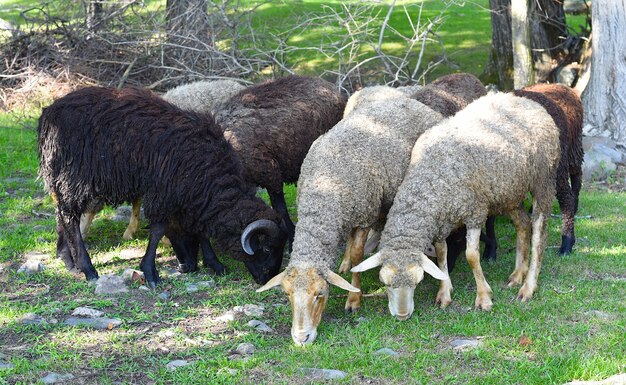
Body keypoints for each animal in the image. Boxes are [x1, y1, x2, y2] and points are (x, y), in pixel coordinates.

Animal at [36, 86, 286, 284]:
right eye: (266, 248)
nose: (267, 279)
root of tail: (49, 113)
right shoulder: (164, 191)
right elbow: (158, 229)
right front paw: (150, 272)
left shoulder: (190, 195)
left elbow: (200, 230)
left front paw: (214, 263)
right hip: (76, 177)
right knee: (70, 216)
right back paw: (87, 268)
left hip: (62, 177)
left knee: (61, 213)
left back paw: (68, 261)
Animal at [352, 91, 560, 320]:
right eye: (385, 282)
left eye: (418, 281)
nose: (402, 316)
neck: (429, 180)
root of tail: (524, 100)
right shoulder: (442, 220)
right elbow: (442, 253)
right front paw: (444, 293)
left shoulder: (475, 213)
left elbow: (471, 256)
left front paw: (484, 297)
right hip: (508, 191)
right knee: (523, 225)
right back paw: (517, 275)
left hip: (544, 180)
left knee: (539, 235)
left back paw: (528, 287)